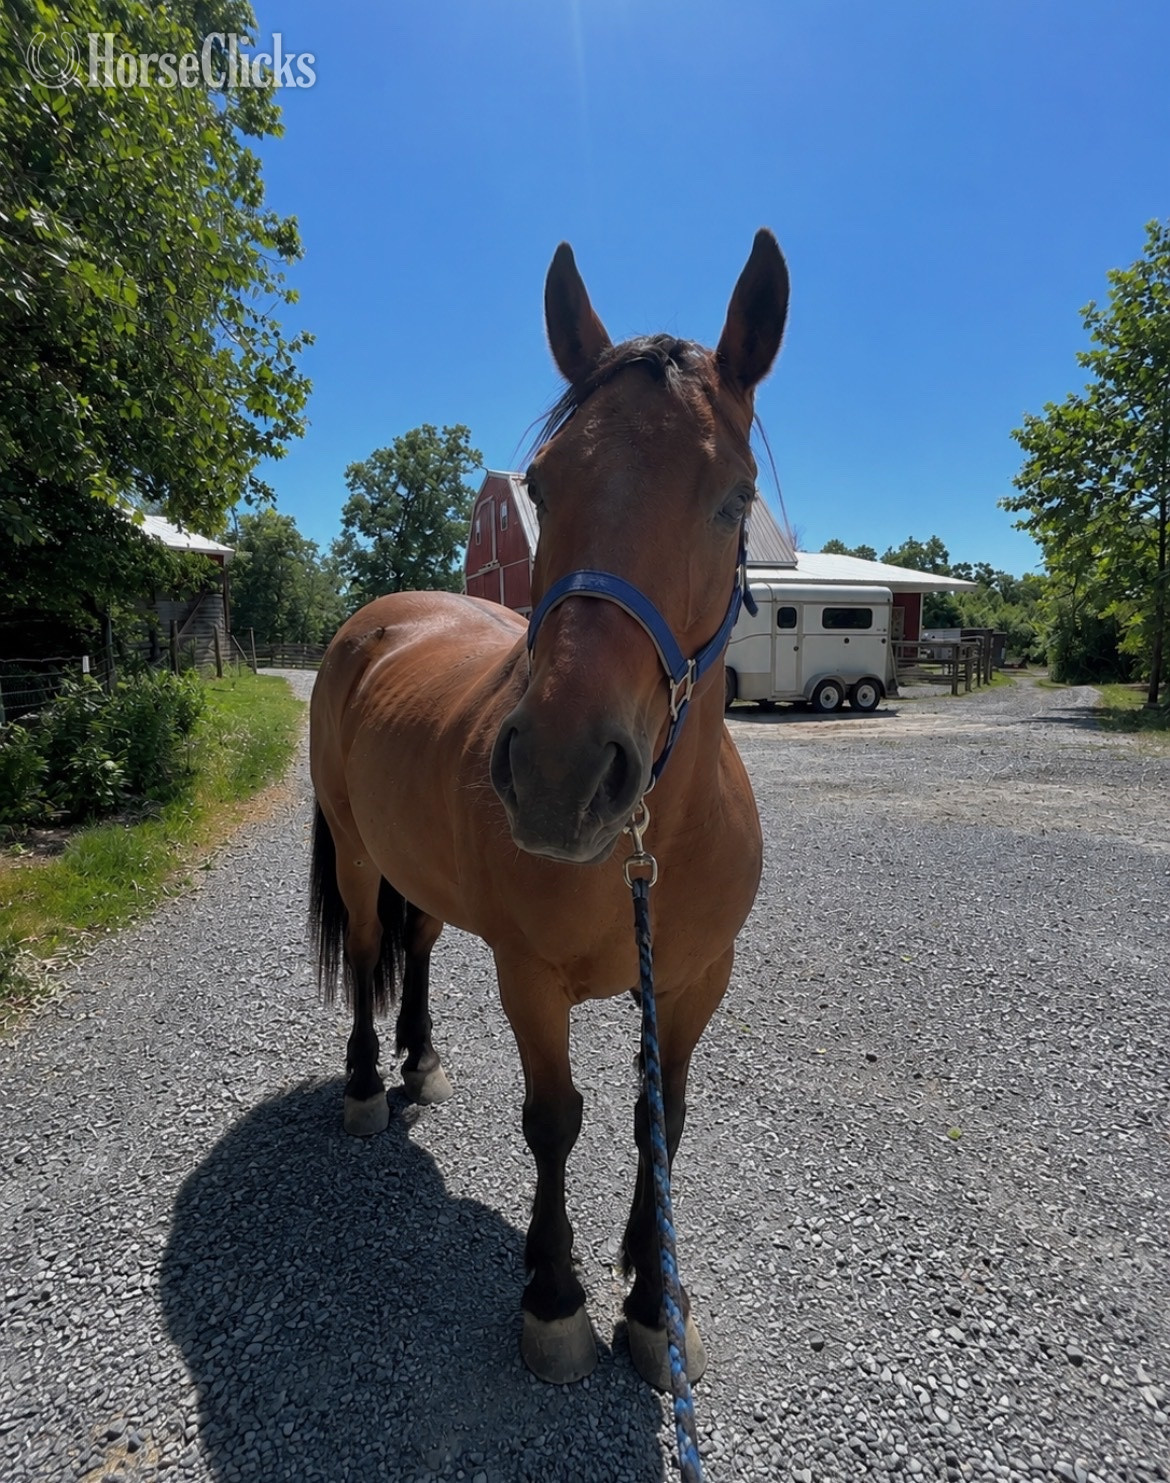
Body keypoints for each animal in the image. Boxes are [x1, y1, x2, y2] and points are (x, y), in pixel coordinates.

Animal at [308, 230, 789, 1391]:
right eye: (542, 482)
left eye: (733, 496)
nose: (563, 774)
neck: (649, 845)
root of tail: (378, 619)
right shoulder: (531, 979)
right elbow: (555, 1121)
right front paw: (557, 1294)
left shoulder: (696, 979)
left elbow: (662, 1118)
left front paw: (656, 1299)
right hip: (356, 851)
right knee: (367, 944)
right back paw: (365, 1084)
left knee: (416, 946)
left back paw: (422, 1061)